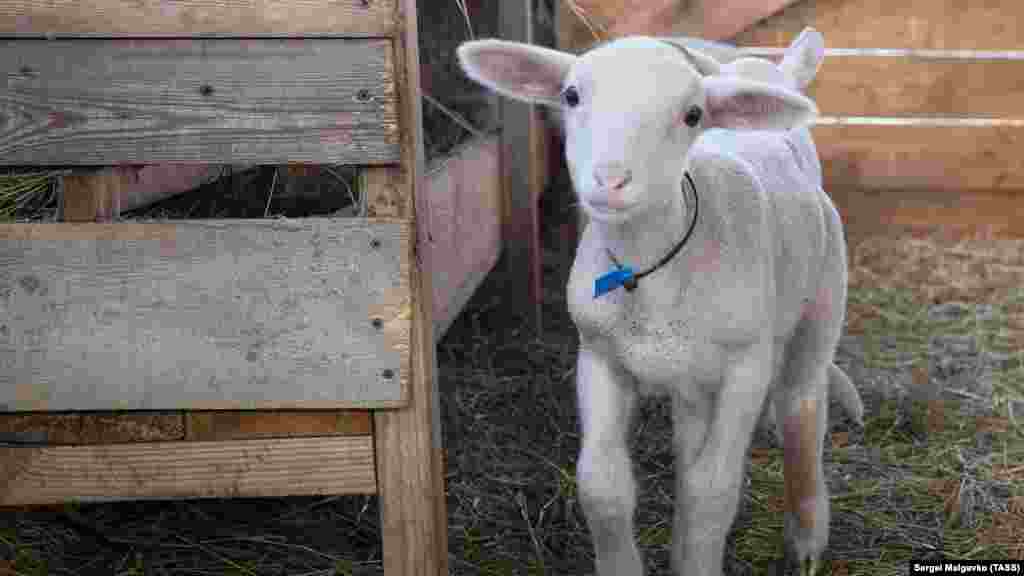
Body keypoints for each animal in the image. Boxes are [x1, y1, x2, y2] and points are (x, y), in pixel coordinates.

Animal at [460, 25, 860, 573]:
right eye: (571, 95)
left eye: (692, 114)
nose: (610, 180)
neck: (650, 271)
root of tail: (766, 72)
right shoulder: (599, 356)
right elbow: (603, 486)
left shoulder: (745, 367)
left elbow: (713, 490)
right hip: (692, 384)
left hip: (820, 303)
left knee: (801, 409)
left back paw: (805, 540)